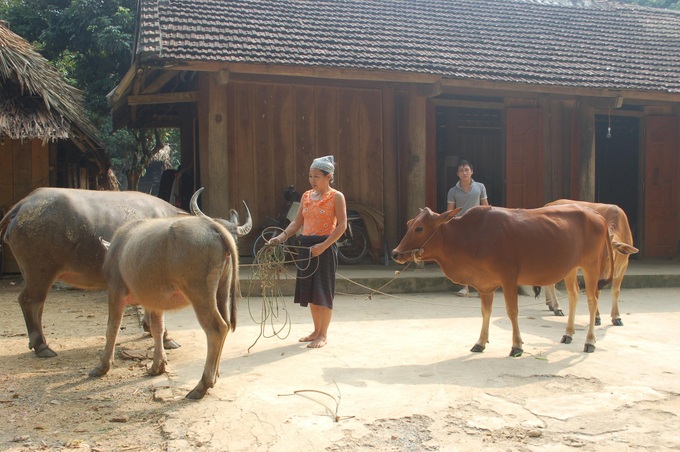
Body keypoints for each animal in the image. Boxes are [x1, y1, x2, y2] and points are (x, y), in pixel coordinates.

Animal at [0, 186, 251, 356]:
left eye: (236, 240)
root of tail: (25, 204)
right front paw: (165, 338)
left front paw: (150, 329)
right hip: (39, 271)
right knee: (30, 301)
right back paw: (42, 346)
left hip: (36, 274)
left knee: (37, 304)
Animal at [89, 189, 240, 400]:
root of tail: (213, 226)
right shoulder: (154, 301)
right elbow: (157, 329)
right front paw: (157, 365)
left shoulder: (115, 290)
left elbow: (112, 327)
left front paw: (102, 366)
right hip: (222, 290)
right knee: (225, 325)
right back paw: (215, 374)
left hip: (200, 293)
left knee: (216, 328)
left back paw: (202, 384)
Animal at [390, 205, 612, 356]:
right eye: (409, 224)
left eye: (419, 228)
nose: (395, 253)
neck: (468, 237)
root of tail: (596, 213)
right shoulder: (485, 285)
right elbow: (485, 312)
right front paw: (480, 342)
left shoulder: (508, 279)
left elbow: (512, 311)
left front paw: (517, 346)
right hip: (571, 268)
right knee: (574, 295)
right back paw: (568, 334)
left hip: (591, 265)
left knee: (592, 300)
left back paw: (590, 342)